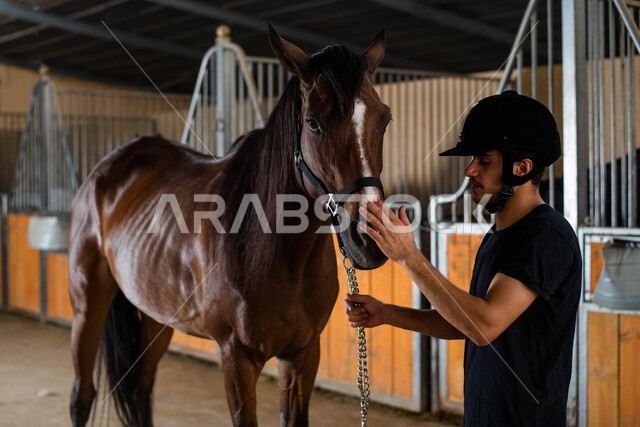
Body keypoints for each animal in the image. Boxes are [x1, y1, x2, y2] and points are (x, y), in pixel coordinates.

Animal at [68, 25, 390, 427]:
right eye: (313, 123)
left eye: (384, 119)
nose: (369, 239)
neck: (271, 251)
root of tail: (107, 168)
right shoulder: (236, 358)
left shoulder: (302, 355)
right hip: (86, 306)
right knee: (82, 395)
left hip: (155, 317)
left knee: (140, 389)